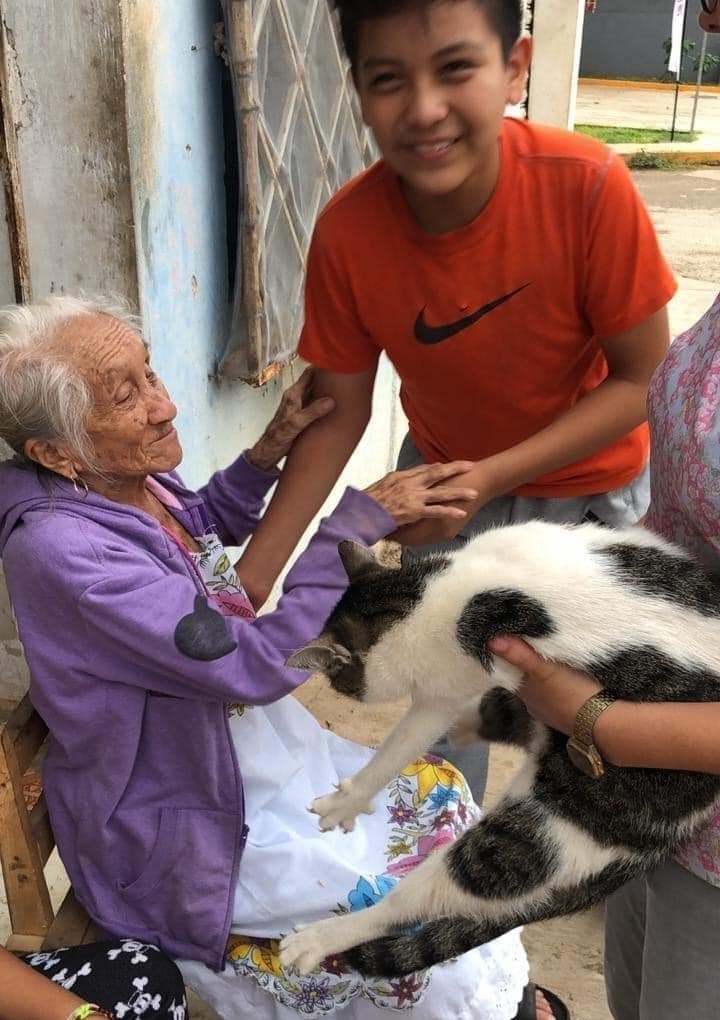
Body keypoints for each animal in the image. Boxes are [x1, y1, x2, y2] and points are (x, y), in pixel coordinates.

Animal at [281, 522, 720, 975]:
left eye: (341, 683)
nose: (343, 687)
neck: (430, 590)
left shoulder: (441, 687)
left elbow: (397, 749)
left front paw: (343, 803)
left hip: (534, 839)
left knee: (418, 900)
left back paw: (322, 937)